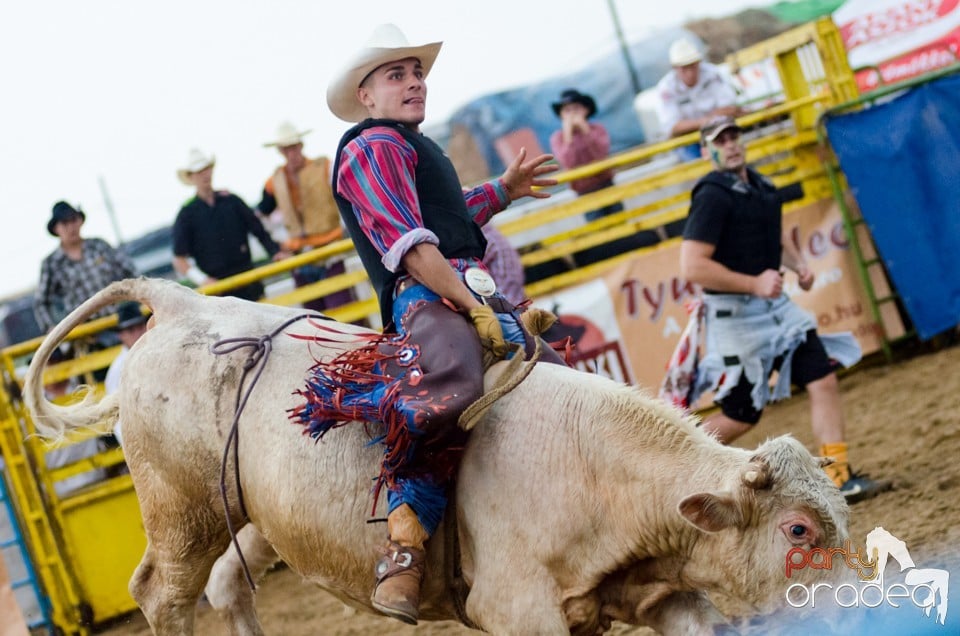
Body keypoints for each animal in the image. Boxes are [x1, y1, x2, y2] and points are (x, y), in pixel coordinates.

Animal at [20, 280, 848, 636]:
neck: (593, 467)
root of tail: (178, 300)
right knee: (162, 596)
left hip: (240, 519)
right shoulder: (519, 616)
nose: (856, 608)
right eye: (798, 530)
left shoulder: (662, 600)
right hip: (181, 510)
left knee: (224, 588)